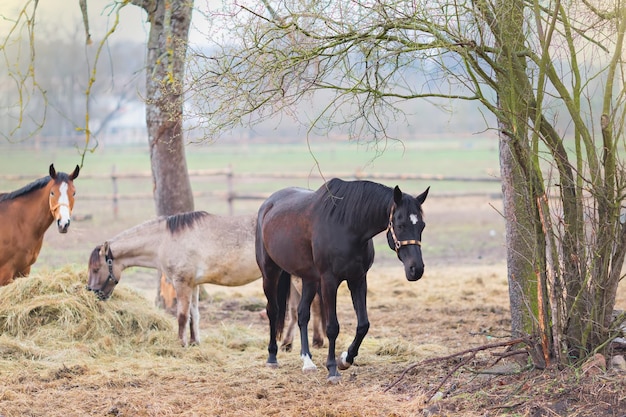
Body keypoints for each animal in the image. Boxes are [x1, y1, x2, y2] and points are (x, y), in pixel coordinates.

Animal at [256, 177, 426, 382]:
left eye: (422, 226)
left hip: (309, 279)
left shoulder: (358, 279)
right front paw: (332, 369)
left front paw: (345, 359)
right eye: (400, 225)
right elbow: (332, 327)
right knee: (273, 311)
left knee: (303, 314)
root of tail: (268, 204)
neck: (347, 227)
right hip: (270, 273)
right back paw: (272, 357)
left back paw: (307, 361)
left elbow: (363, 325)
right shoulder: (329, 281)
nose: (416, 269)